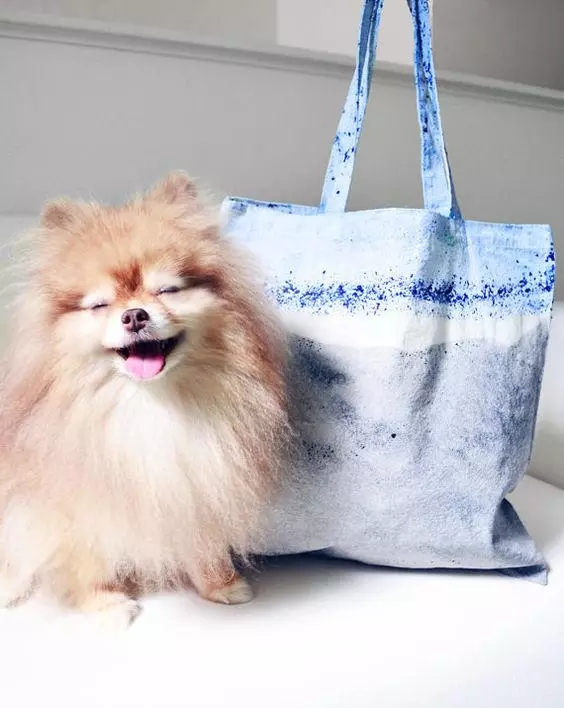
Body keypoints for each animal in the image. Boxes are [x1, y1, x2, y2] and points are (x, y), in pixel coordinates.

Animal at [0, 172, 288, 628]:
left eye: (167, 290)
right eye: (99, 305)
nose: (134, 315)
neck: (150, 402)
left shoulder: (197, 479)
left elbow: (202, 541)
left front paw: (221, 585)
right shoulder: (76, 499)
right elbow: (88, 555)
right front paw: (106, 604)